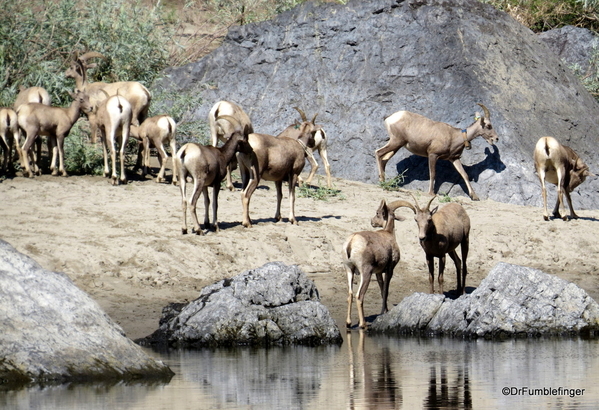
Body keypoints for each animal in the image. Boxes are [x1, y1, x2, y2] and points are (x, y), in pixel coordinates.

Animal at [342, 197, 408, 328]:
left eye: (377, 213)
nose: (372, 222)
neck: (389, 235)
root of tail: (352, 241)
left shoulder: (378, 273)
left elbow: (382, 289)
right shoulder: (389, 270)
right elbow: (386, 290)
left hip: (349, 270)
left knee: (350, 294)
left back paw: (348, 323)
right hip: (366, 273)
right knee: (359, 296)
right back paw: (363, 324)